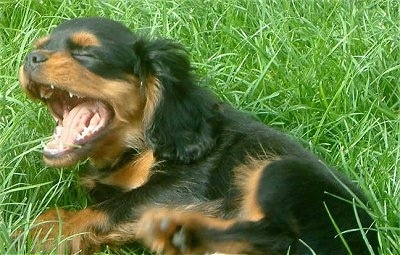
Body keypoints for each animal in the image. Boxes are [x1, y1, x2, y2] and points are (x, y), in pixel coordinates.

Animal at [18, 16, 378, 254]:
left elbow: (116, 206)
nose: (30, 58)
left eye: (86, 53)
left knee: (269, 234)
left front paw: (48, 229)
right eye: (39, 47)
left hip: (279, 170)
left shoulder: (184, 185)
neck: (139, 144)